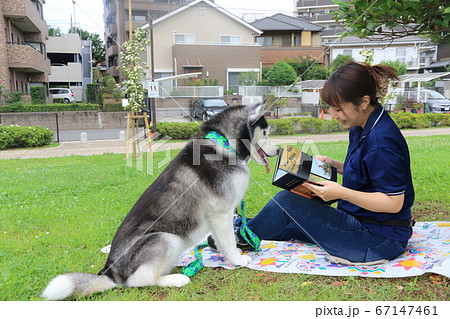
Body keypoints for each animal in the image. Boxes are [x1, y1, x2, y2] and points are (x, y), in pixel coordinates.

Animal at [43, 102, 282, 300]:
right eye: (266, 133)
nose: (279, 149)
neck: (225, 143)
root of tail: (110, 270)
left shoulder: (217, 216)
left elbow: (221, 241)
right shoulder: (221, 212)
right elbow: (229, 241)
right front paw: (237, 260)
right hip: (165, 238)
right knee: (138, 280)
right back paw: (176, 279)